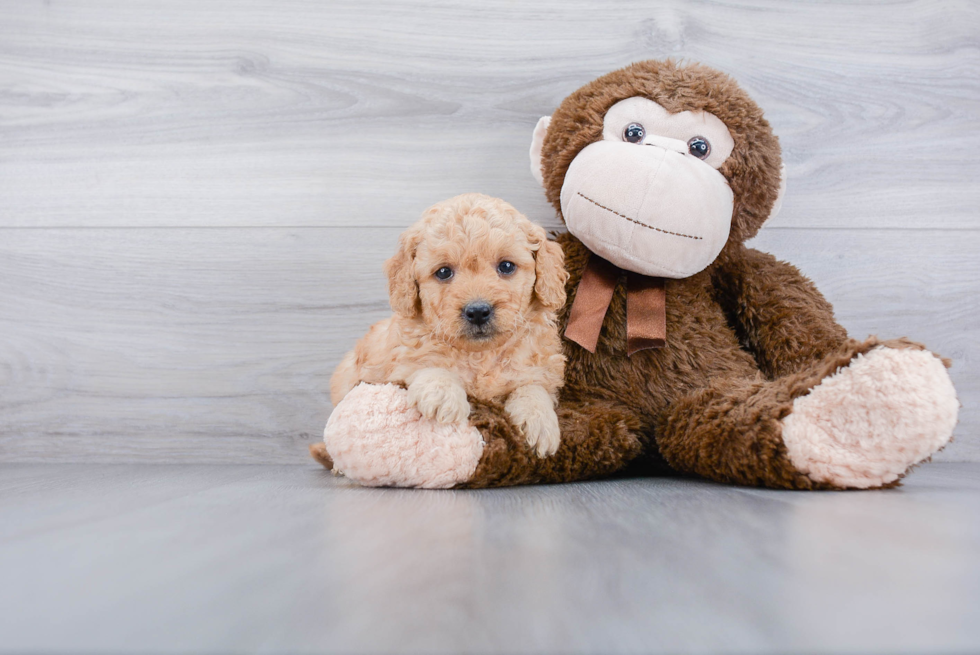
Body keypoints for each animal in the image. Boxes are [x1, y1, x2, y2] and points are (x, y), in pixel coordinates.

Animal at [334, 192, 572, 458]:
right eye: (444, 272)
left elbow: (533, 388)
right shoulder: (402, 360)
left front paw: (539, 423)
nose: (478, 311)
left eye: (506, 266)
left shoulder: (540, 370)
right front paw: (443, 394)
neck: (481, 356)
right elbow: (428, 364)